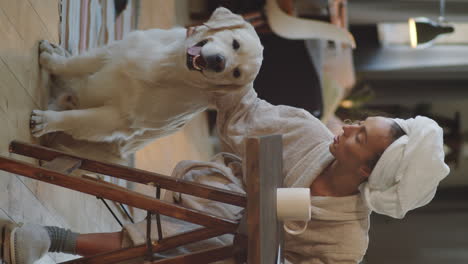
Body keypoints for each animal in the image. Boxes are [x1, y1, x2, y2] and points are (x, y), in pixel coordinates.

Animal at [32, 7, 264, 157]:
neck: (169, 68)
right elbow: (73, 64)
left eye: (236, 73)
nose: (218, 62)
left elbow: (75, 119)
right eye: (235, 44)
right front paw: (51, 61)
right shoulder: (115, 51)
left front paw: (46, 121)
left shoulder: (119, 119)